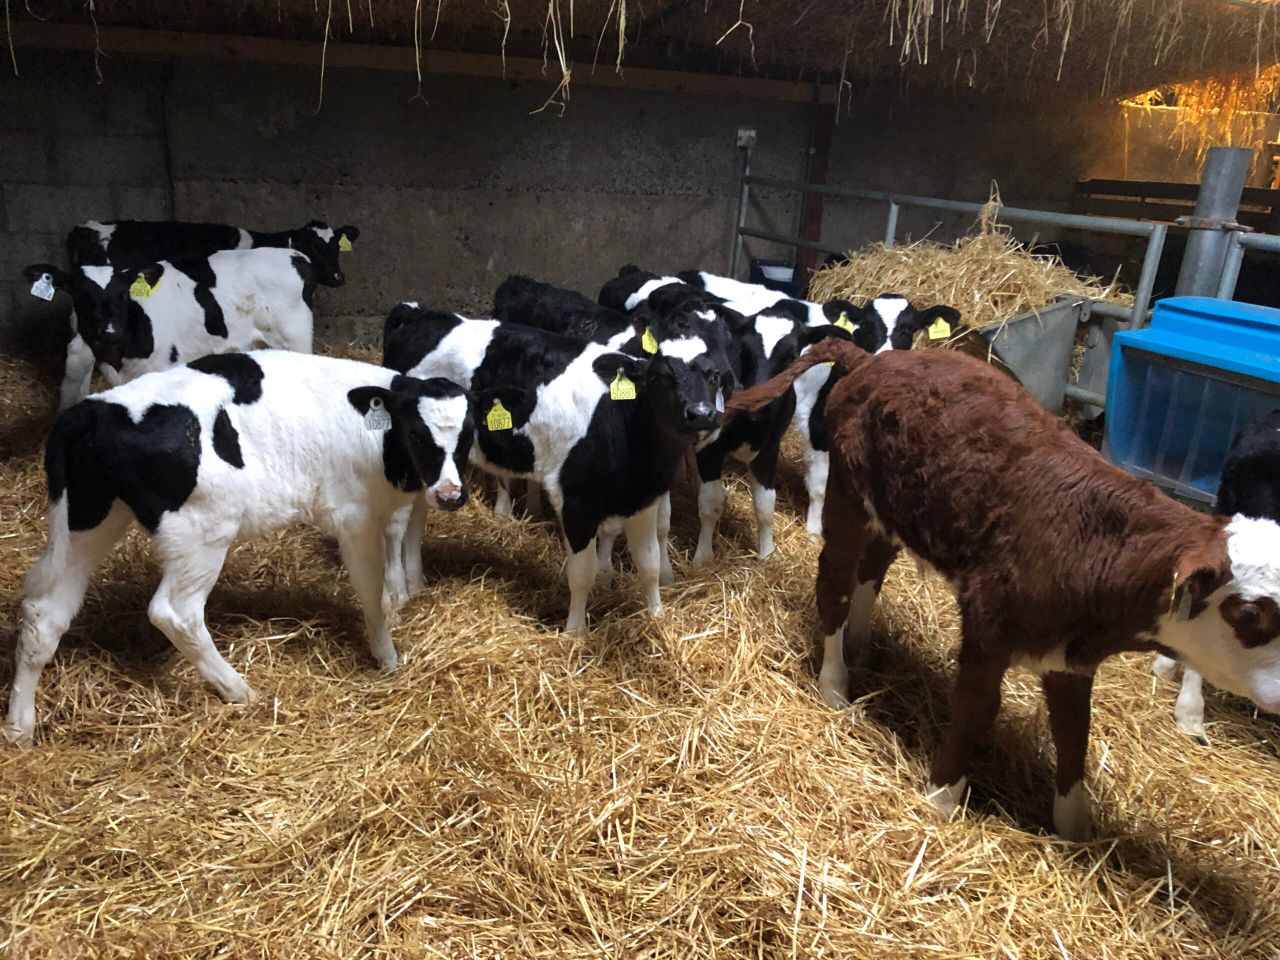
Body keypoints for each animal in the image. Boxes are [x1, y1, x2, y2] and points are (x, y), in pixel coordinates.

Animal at [4, 350, 471, 746]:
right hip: (201, 534)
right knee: (174, 612)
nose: (450, 494)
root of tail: (94, 411)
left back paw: (19, 728)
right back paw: (238, 689)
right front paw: (387, 658)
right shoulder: (354, 516)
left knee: (46, 611)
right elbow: (371, 592)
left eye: (467, 436)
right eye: (416, 432)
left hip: (88, 518)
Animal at [380, 303, 723, 631]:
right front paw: (575, 632)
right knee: (396, 526)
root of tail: (416, 315)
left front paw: (656, 617)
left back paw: (416, 583)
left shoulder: (644, 499)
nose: (701, 413)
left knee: (417, 517)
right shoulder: (575, 501)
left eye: (714, 376)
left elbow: (648, 563)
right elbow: (582, 573)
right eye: (659, 379)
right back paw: (399, 594)